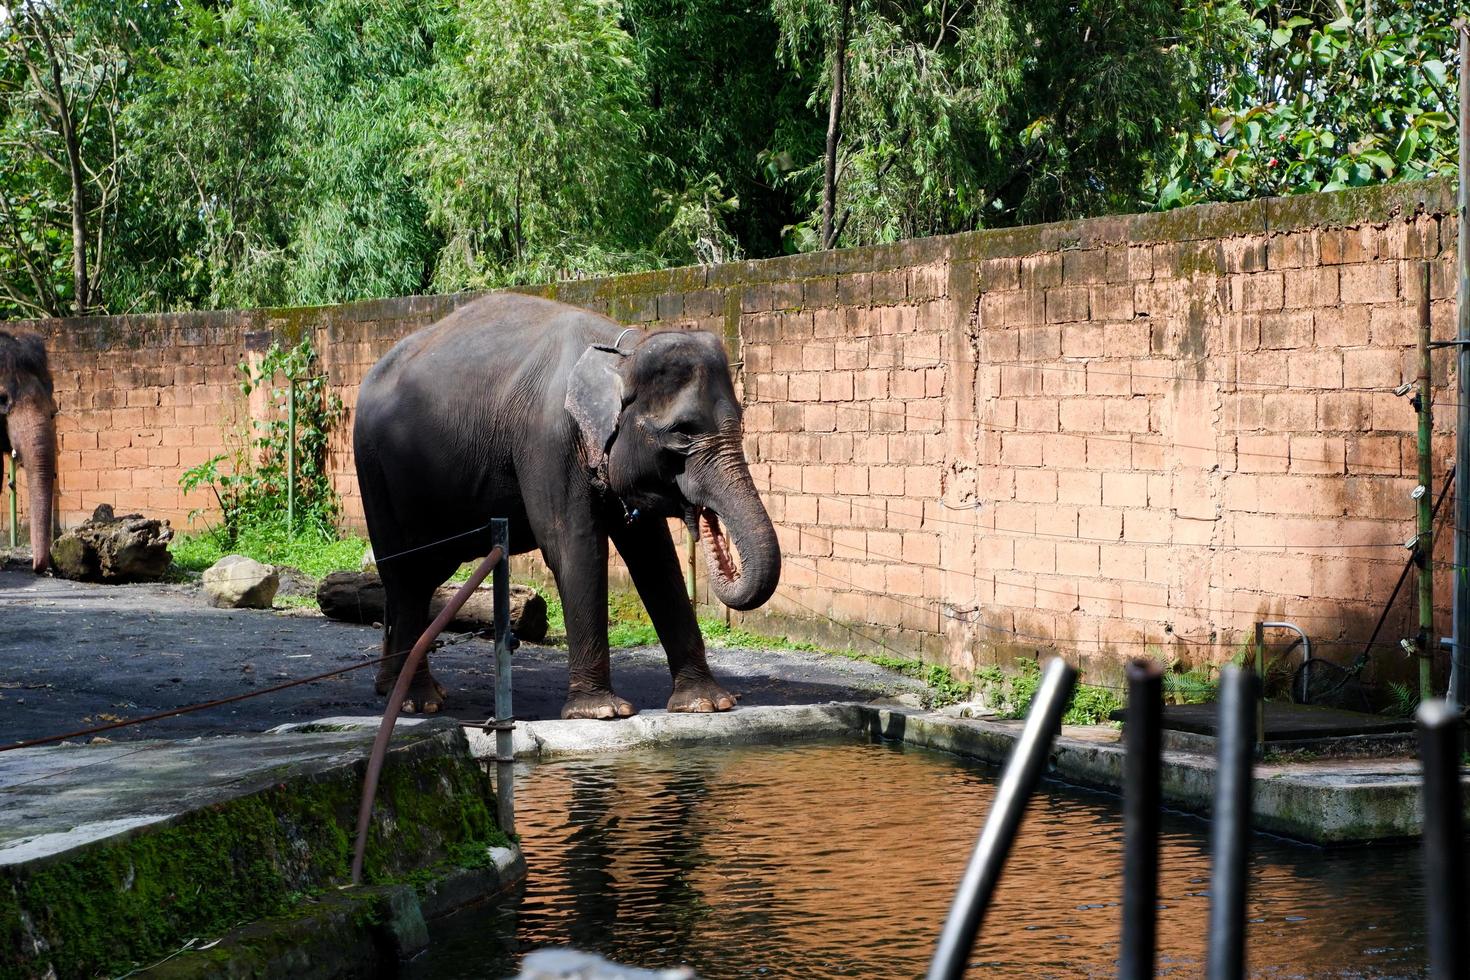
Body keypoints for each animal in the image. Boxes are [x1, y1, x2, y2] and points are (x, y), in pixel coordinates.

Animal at [354, 290, 782, 719]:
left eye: (739, 422)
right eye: (682, 433)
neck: (620, 350)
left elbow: (654, 555)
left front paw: (708, 704)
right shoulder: (549, 440)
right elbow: (573, 544)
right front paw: (603, 712)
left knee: (414, 579)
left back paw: (396, 688)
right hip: (376, 470)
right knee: (409, 573)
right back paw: (418, 701)